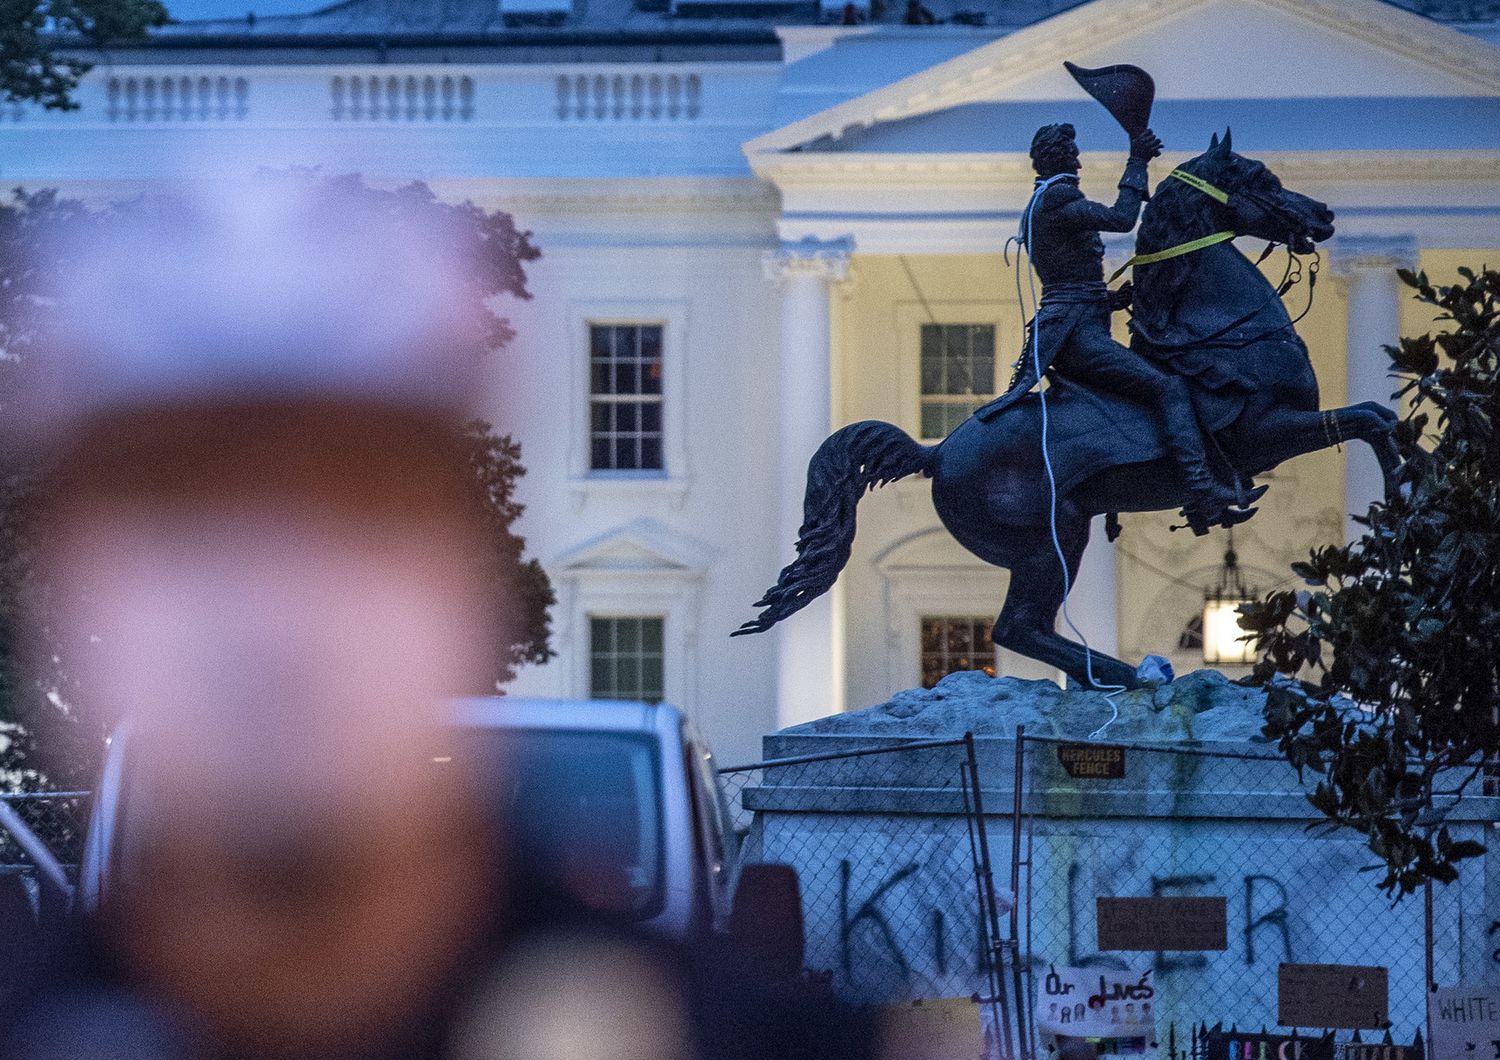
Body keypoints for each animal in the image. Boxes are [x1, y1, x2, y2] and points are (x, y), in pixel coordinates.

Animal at [738, 132, 1404, 692]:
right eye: (1261, 177)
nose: (1325, 215)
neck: (1224, 332)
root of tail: (938, 452)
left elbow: (1381, 415)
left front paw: (1407, 494)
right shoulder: (1264, 435)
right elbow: (1366, 418)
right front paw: (1396, 507)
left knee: (1027, 628)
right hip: (1055, 534)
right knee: (1017, 628)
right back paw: (1137, 676)